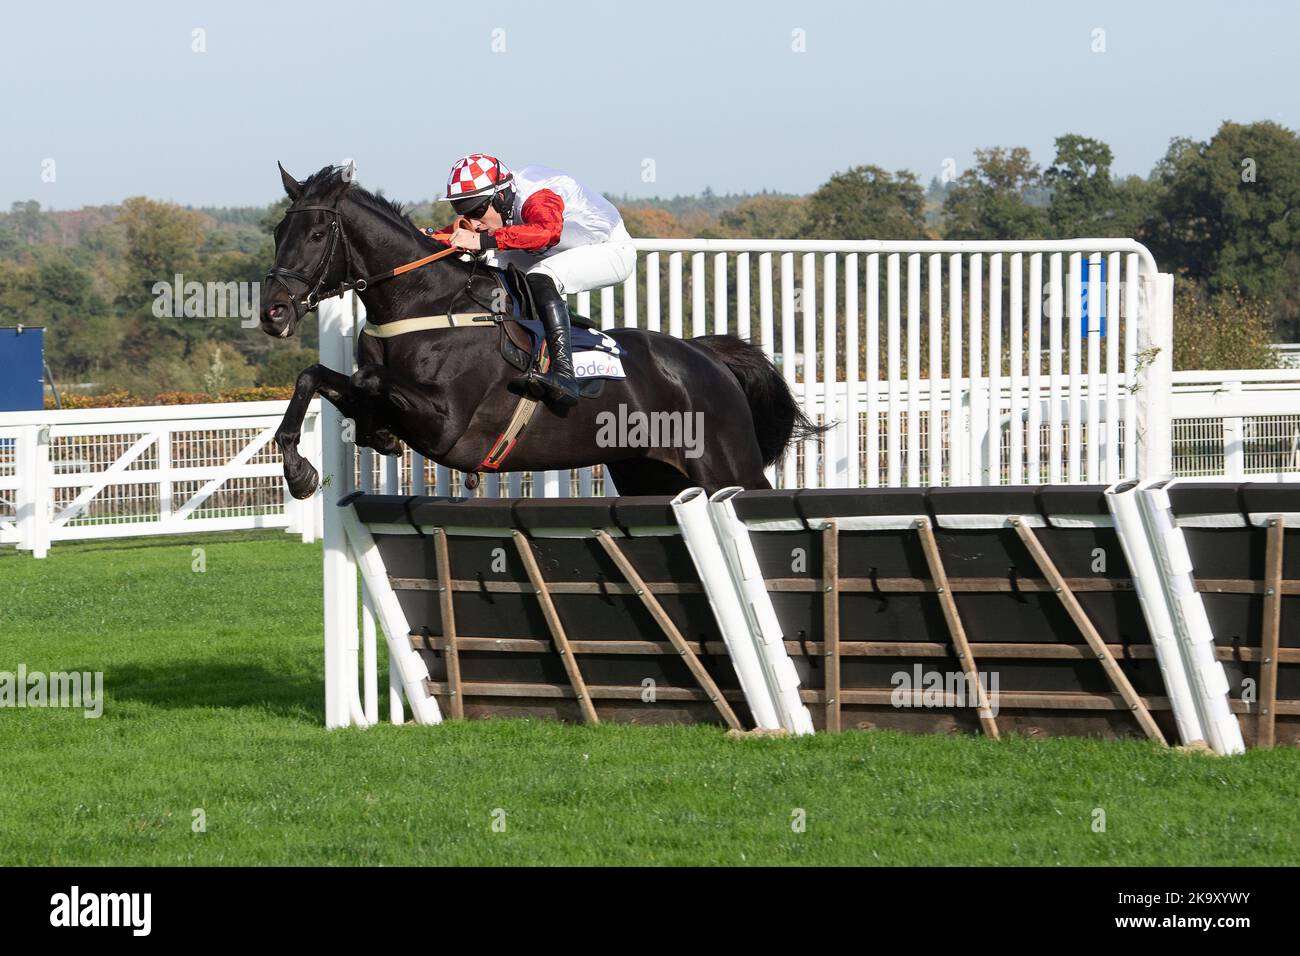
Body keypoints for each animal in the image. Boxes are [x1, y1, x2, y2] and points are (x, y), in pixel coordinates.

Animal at [258, 161, 816, 496]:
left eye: (315, 234)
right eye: (278, 230)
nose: (274, 312)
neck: (426, 302)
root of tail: (706, 358)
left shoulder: (446, 422)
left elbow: (369, 382)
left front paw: (370, 435)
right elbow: (315, 376)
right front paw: (302, 469)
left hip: (726, 467)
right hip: (649, 471)